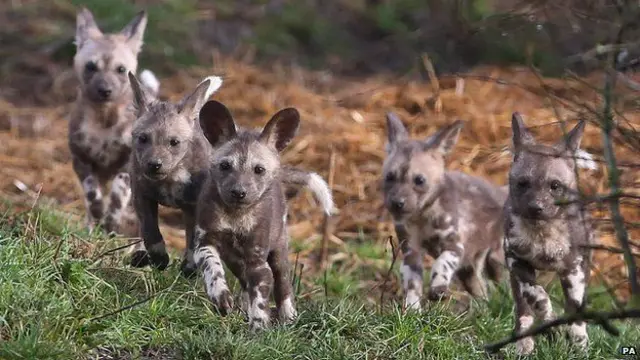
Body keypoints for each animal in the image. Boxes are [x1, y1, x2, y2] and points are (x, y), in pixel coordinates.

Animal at [68, 8, 159, 233]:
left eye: (121, 69)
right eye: (91, 66)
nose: (105, 91)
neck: (104, 118)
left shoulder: (127, 166)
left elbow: (118, 197)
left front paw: (111, 224)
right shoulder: (81, 160)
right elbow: (92, 194)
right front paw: (99, 214)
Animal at [127, 74, 332, 278]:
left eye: (174, 142)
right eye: (143, 138)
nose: (154, 165)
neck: (169, 180)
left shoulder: (195, 208)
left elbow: (192, 242)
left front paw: (188, 268)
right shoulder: (142, 196)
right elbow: (150, 232)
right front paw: (159, 258)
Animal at [194, 100, 312, 330]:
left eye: (258, 169)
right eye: (225, 166)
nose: (238, 192)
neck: (236, 216)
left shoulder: (258, 263)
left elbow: (260, 299)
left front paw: (258, 328)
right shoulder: (204, 243)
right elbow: (212, 267)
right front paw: (220, 295)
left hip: (278, 252)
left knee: (283, 285)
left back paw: (289, 317)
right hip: (236, 261)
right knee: (244, 282)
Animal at [382, 112, 508, 312]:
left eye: (419, 180)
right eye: (390, 177)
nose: (397, 203)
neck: (422, 216)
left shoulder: (454, 246)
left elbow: (441, 263)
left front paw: (437, 288)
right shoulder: (411, 252)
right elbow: (412, 285)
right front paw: (412, 311)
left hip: (496, 260)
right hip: (469, 271)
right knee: (482, 293)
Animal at [504, 113, 596, 354]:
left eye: (555, 186)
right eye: (522, 183)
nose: (536, 207)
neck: (542, 232)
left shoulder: (574, 269)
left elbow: (574, 308)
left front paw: (577, 341)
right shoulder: (516, 261)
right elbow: (536, 295)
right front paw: (549, 317)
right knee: (523, 310)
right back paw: (524, 343)